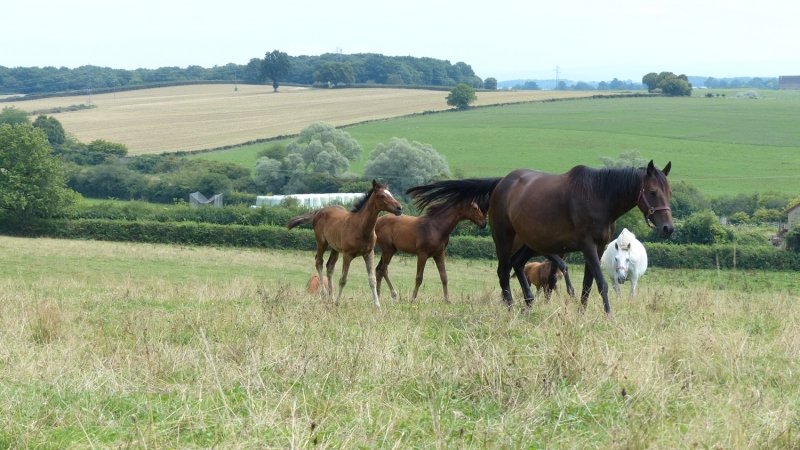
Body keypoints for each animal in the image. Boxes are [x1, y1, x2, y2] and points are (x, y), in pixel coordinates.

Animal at [287, 180, 403, 308]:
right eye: (382, 196)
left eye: (391, 194)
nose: (399, 208)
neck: (361, 228)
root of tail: (318, 211)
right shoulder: (347, 255)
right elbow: (343, 279)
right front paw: (337, 303)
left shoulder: (369, 253)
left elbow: (372, 279)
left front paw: (377, 306)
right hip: (321, 242)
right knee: (319, 262)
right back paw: (324, 293)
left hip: (335, 248)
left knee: (329, 266)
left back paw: (331, 297)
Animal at [447, 161, 672, 317]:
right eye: (653, 192)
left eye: (669, 192)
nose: (668, 228)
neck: (597, 197)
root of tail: (500, 184)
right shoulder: (588, 247)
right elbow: (601, 283)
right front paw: (609, 316)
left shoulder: (598, 248)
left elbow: (587, 285)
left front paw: (581, 314)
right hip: (504, 239)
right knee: (503, 272)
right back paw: (510, 309)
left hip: (530, 243)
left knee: (517, 264)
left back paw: (529, 303)